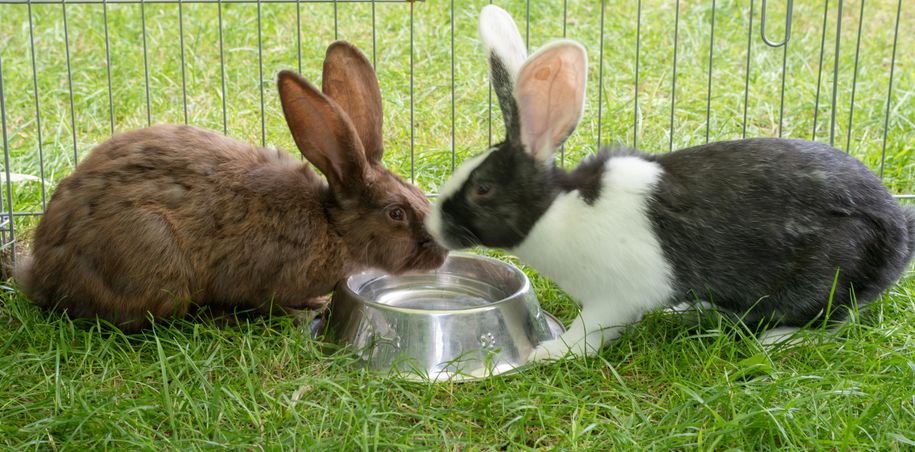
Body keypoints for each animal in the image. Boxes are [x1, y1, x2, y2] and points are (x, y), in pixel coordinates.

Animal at [11, 41, 448, 332]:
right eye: (396, 213)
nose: (442, 253)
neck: (332, 226)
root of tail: (42, 275)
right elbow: (272, 304)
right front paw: (309, 309)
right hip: (154, 254)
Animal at [424, 4, 915, 360]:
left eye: (483, 188)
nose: (431, 225)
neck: (557, 212)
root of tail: (899, 226)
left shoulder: (613, 298)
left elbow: (590, 333)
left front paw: (549, 352)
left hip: (826, 277)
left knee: (835, 319)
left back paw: (777, 339)